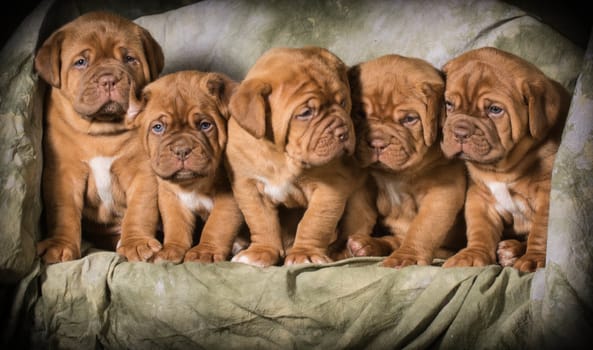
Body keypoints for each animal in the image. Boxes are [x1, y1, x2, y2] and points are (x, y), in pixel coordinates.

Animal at [34, 10, 164, 262]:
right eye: (81, 62)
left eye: (129, 59)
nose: (109, 79)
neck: (102, 133)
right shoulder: (63, 174)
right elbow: (63, 211)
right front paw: (59, 245)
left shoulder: (143, 172)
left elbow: (141, 208)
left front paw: (136, 242)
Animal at [125, 70, 245, 262]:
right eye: (158, 127)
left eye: (205, 125)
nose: (182, 150)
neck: (193, 184)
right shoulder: (171, 197)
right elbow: (176, 226)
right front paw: (171, 250)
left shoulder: (229, 197)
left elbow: (217, 225)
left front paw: (205, 252)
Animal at [224, 45, 364, 266]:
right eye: (306, 113)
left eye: (343, 102)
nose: (343, 133)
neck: (281, 155)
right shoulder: (249, 187)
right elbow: (261, 222)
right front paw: (261, 251)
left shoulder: (330, 187)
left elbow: (314, 222)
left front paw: (304, 254)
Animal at [338, 54, 468, 268]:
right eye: (360, 114)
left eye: (409, 119)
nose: (377, 143)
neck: (397, 174)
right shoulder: (364, 189)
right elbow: (357, 218)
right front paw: (342, 251)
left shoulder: (442, 192)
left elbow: (423, 227)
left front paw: (408, 256)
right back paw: (365, 245)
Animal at [440, 45, 568, 272]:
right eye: (449, 104)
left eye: (495, 109)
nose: (461, 132)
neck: (501, 169)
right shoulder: (480, 197)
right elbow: (480, 229)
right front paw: (473, 255)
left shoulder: (547, 194)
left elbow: (541, 230)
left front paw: (534, 258)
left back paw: (513, 251)